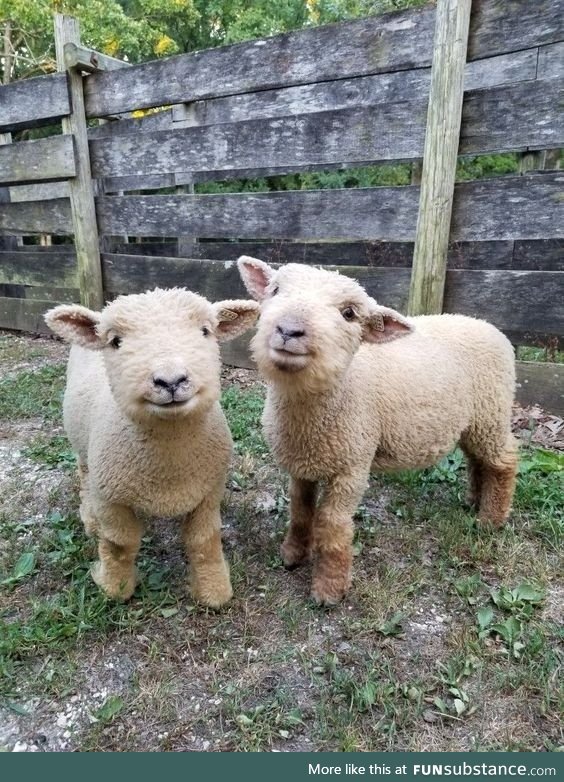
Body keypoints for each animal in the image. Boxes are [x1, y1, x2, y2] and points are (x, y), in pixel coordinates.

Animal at [45, 288, 258, 608]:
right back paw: (90, 521)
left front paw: (213, 590)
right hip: (83, 448)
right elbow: (120, 543)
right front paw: (113, 586)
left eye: (205, 331)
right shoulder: (109, 498)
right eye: (115, 341)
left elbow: (203, 540)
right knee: (84, 475)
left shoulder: (209, 491)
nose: (171, 381)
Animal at [236, 258, 516, 608]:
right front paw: (293, 554)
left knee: (503, 462)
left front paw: (329, 588)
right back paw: (475, 501)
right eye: (274, 290)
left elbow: (332, 525)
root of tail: (487, 325)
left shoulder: (353, 467)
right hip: (474, 422)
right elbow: (300, 509)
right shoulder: (302, 462)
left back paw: (491, 520)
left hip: (492, 412)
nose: (289, 330)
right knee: (478, 461)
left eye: (349, 313)